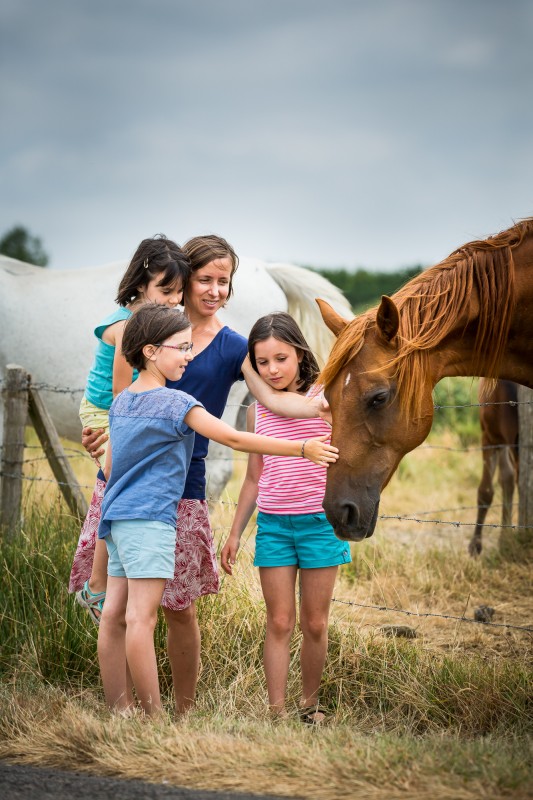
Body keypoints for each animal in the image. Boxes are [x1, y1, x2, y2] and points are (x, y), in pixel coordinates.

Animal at [470, 380, 516, 556]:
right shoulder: (497, 438)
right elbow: (505, 479)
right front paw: (505, 540)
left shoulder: (491, 437)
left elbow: (486, 490)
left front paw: (476, 544)